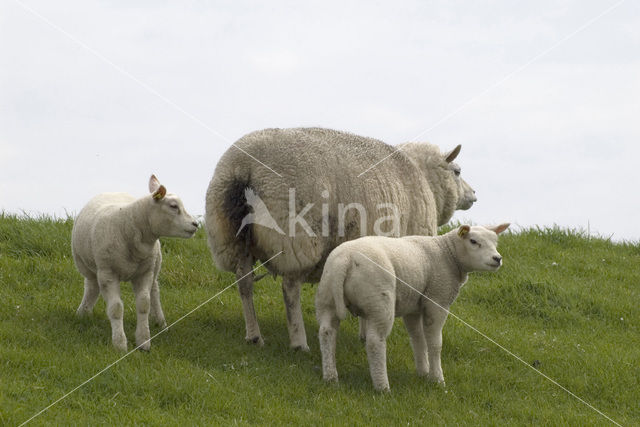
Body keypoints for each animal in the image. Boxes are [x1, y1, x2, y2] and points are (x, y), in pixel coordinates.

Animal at [71, 174, 199, 352]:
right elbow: (116, 308)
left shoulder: (144, 272)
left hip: (155, 265)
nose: (196, 224)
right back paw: (83, 313)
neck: (129, 225)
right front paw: (119, 344)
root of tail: (113, 191)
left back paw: (160, 322)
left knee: (154, 291)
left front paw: (144, 341)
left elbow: (144, 304)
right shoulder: (107, 273)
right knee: (91, 287)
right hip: (88, 266)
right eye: (173, 206)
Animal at [205, 127, 476, 352]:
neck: (422, 178)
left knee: (244, 283)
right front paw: (367, 334)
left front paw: (363, 333)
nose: (474, 194)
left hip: (230, 234)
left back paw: (254, 335)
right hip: (296, 237)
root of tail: (245, 166)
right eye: (457, 171)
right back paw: (299, 342)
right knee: (290, 289)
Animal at [316, 224, 510, 392]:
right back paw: (382, 387)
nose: (497, 259)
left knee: (327, 332)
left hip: (327, 295)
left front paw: (423, 372)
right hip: (379, 302)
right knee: (374, 341)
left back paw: (331, 377)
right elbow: (435, 343)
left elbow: (417, 338)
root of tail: (345, 260)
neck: (447, 253)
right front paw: (437, 379)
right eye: (473, 241)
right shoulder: (437, 300)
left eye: (495, 242)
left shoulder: (412, 306)